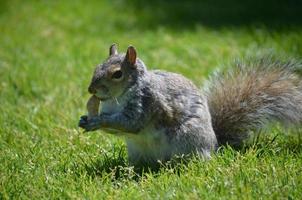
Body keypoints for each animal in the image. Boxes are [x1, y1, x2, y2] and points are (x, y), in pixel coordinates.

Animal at [79, 44, 302, 167]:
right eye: (97, 66)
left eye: (117, 74)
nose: (91, 89)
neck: (119, 97)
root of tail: (215, 145)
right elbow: (117, 130)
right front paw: (84, 120)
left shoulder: (147, 103)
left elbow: (130, 123)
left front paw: (98, 121)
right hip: (137, 149)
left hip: (188, 138)